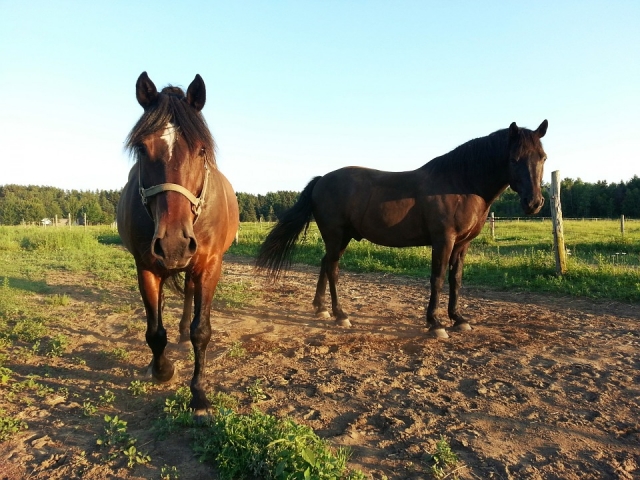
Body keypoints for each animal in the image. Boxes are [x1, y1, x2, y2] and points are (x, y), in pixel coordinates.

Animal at [117, 72, 239, 416]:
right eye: (141, 149)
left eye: (201, 150)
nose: (173, 243)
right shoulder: (145, 268)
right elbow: (155, 331)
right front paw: (162, 370)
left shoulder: (209, 265)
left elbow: (202, 331)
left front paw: (198, 395)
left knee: (188, 294)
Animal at [256, 120, 548, 338]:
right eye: (514, 158)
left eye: (542, 157)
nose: (533, 203)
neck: (461, 184)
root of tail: (321, 180)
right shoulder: (443, 240)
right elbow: (437, 279)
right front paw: (435, 323)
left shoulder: (462, 243)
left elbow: (456, 279)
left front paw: (458, 319)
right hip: (336, 235)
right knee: (333, 269)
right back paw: (341, 315)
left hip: (340, 237)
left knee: (324, 264)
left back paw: (320, 309)